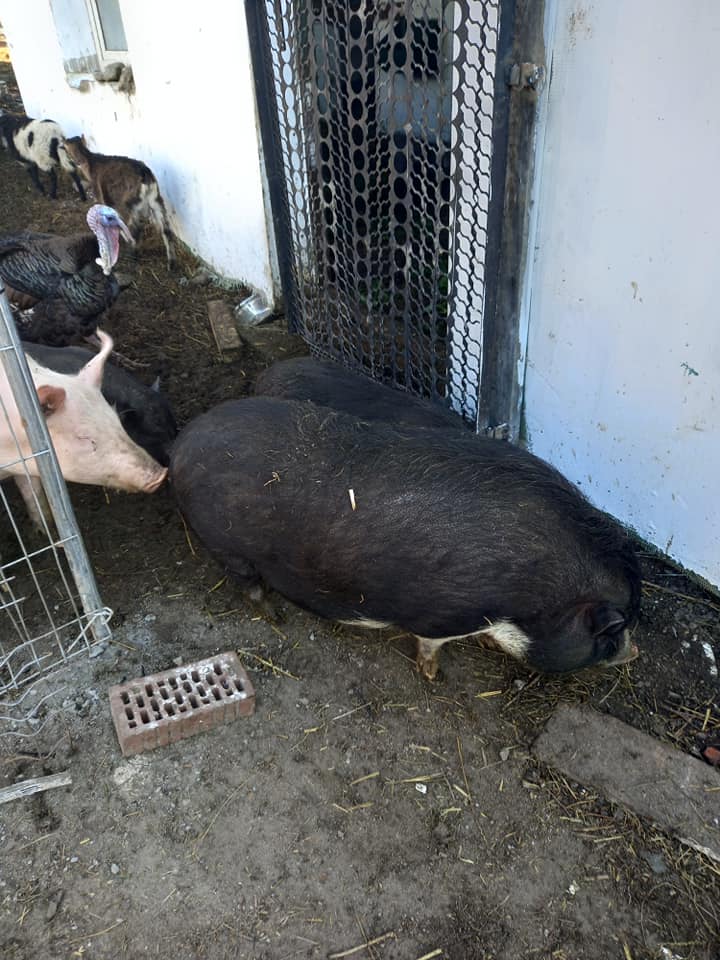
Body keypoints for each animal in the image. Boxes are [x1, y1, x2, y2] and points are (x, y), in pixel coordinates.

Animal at [63, 135, 175, 268]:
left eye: (65, 149)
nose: (76, 162)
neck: (91, 166)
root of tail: (145, 175)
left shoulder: (103, 198)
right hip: (156, 200)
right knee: (166, 230)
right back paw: (171, 264)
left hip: (128, 203)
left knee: (136, 228)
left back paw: (132, 253)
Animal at [170, 397, 641, 679]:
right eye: (613, 632)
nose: (635, 653)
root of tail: (181, 445)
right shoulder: (444, 615)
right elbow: (430, 643)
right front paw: (433, 675)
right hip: (227, 546)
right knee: (247, 583)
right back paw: (275, 616)